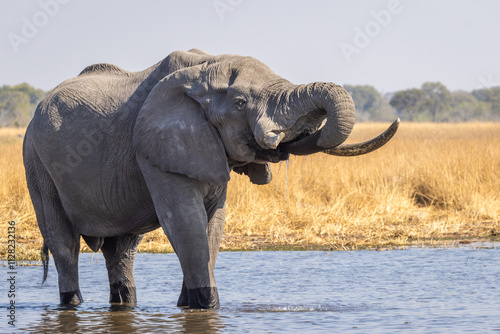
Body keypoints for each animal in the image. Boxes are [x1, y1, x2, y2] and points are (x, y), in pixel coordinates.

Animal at [22, 48, 398, 310]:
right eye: (240, 102)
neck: (206, 65)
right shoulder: (155, 148)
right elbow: (184, 222)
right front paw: (206, 306)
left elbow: (212, 225)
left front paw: (189, 306)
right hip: (36, 161)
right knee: (63, 242)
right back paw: (72, 304)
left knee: (122, 249)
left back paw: (125, 305)